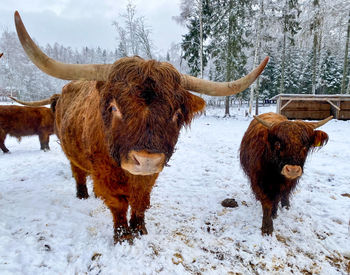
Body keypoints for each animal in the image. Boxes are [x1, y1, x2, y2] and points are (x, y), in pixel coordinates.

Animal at [14, 10, 268, 244]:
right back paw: (83, 195)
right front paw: (122, 236)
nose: (146, 160)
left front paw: (140, 229)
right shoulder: (106, 175)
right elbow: (117, 204)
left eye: (176, 113)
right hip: (72, 153)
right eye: (113, 107)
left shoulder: (149, 176)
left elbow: (140, 201)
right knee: (78, 172)